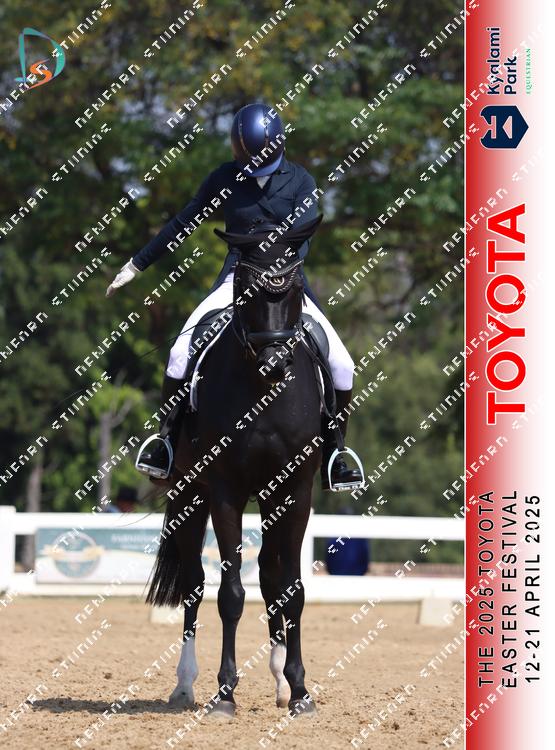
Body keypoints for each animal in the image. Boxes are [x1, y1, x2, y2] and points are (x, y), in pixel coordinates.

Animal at [146, 215, 326, 719]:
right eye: (245, 288)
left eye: (295, 288)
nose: (274, 364)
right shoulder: (224, 490)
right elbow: (229, 593)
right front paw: (224, 693)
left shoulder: (295, 491)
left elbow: (291, 589)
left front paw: (299, 690)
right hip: (188, 493)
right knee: (193, 584)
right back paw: (185, 684)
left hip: (268, 498)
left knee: (269, 575)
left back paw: (281, 680)